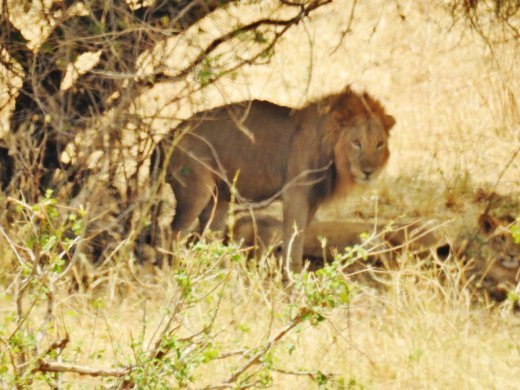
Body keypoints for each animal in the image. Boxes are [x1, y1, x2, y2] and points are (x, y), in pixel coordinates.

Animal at [153, 87, 394, 272]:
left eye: (379, 144)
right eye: (356, 143)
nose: (368, 171)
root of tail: (168, 135)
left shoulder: (312, 202)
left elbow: (299, 236)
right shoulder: (296, 196)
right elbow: (293, 243)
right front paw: (292, 280)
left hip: (219, 199)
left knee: (202, 238)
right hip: (195, 193)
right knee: (173, 233)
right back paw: (170, 273)